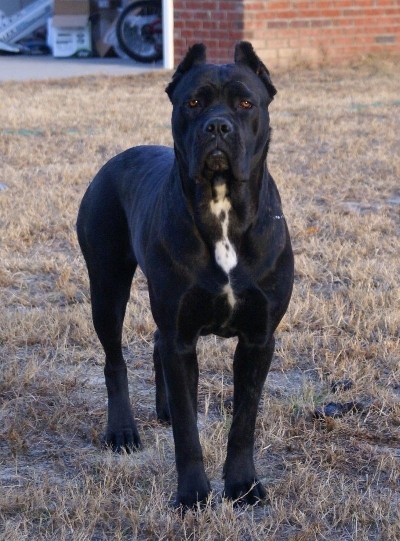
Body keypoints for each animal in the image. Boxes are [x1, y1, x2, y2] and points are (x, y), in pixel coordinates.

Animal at [76, 41, 294, 506]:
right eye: (193, 102)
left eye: (246, 103)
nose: (218, 127)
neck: (223, 209)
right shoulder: (181, 337)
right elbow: (188, 434)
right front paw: (193, 494)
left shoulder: (258, 338)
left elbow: (244, 421)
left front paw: (243, 486)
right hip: (107, 288)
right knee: (114, 362)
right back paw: (123, 431)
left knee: (156, 345)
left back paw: (162, 411)